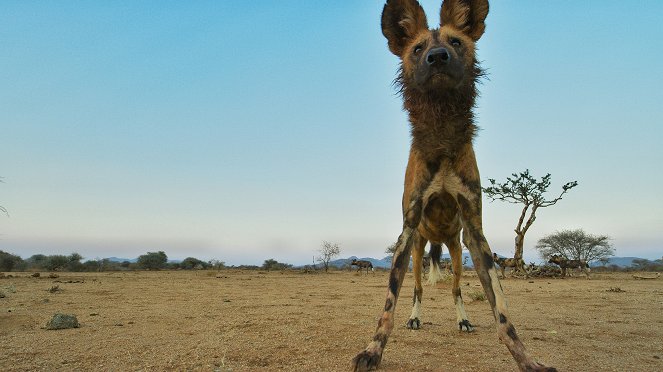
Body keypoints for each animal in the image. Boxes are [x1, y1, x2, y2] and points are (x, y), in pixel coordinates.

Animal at [352, 1, 556, 370]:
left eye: (456, 42)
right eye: (418, 48)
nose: (437, 57)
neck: (442, 133)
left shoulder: (476, 234)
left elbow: (502, 312)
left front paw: (526, 359)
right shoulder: (407, 230)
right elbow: (388, 306)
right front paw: (373, 350)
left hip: (457, 251)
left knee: (457, 288)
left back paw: (463, 320)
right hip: (418, 249)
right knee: (418, 289)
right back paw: (415, 317)